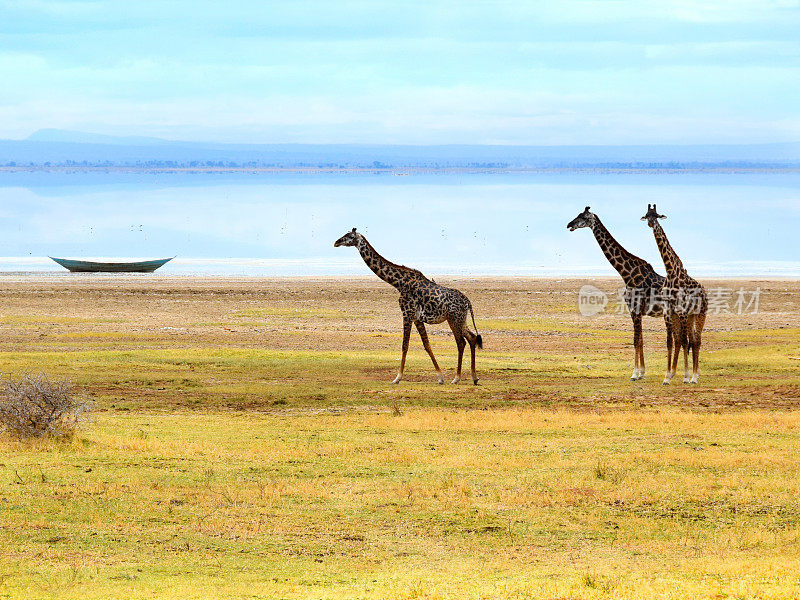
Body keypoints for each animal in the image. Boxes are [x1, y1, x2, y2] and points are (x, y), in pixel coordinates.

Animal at [332, 227, 482, 386]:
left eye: (349, 236)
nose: (336, 242)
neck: (398, 283)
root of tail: (467, 301)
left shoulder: (407, 313)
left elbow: (405, 345)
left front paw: (397, 378)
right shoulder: (417, 318)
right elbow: (426, 345)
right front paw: (440, 377)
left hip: (454, 318)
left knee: (461, 342)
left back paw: (457, 378)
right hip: (458, 319)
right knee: (472, 338)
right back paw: (474, 377)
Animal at [564, 207, 672, 380]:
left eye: (584, 217)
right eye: (578, 214)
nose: (569, 224)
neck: (627, 274)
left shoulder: (636, 309)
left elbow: (636, 340)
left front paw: (635, 373)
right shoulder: (634, 311)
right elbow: (640, 340)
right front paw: (642, 372)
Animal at [640, 205, 708, 384]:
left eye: (656, 215)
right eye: (646, 215)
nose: (650, 223)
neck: (670, 272)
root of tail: (705, 292)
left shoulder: (681, 311)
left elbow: (684, 342)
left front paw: (685, 376)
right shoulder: (668, 312)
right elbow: (671, 342)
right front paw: (667, 377)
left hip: (700, 314)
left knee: (697, 340)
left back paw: (694, 377)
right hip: (690, 316)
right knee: (691, 340)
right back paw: (692, 374)